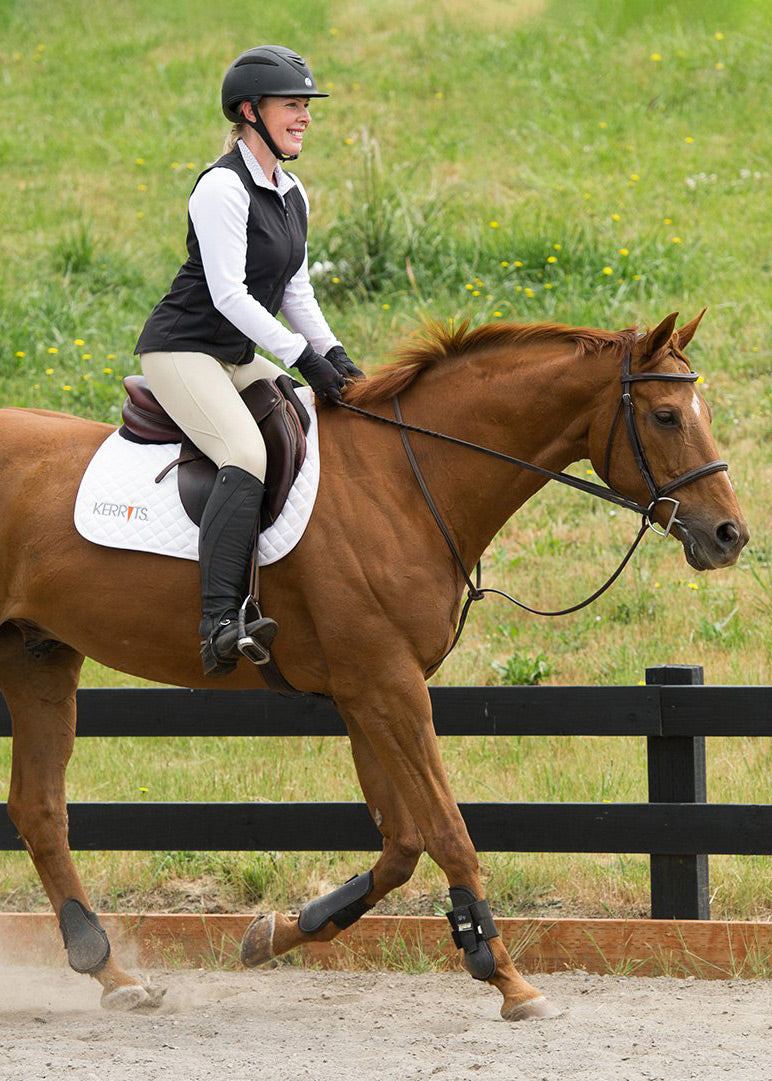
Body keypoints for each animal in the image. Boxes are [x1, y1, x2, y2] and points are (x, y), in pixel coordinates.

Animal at [1, 310, 748, 1018]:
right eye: (665, 415)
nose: (729, 536)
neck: (406, 480)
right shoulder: (388, 686)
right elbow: (448, 830)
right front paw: (508, 979)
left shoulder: (366, 692)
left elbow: (402, 843)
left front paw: (277, 933)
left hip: (39, 655)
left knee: (39, 810)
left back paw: (110, 972)